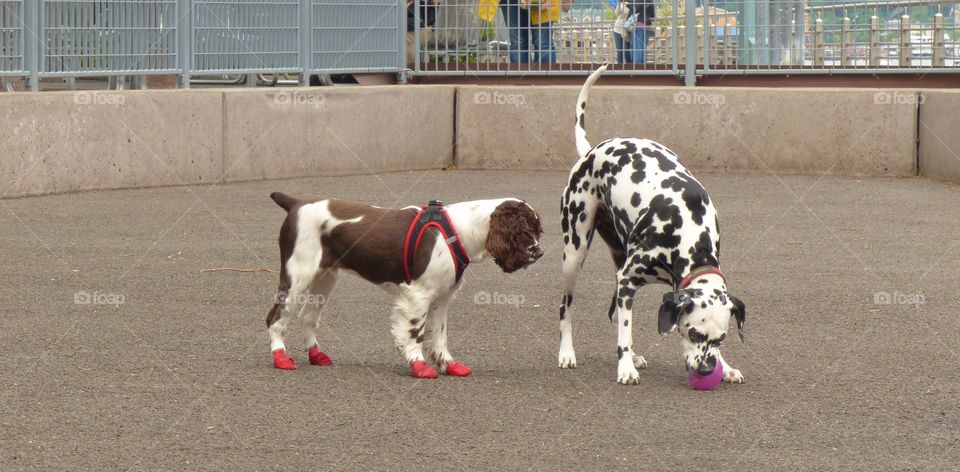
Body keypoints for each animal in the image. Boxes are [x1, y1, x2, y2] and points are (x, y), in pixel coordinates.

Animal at [266, 190, 544, 378]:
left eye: (536, 230)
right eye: (524, 231)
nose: (540, 253)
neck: (459, 230)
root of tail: (296, 203)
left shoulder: (441, 298)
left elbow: (439, 335)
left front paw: (449, 365)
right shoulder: (418, 295)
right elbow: (415, 332)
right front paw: (419, 365)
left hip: (325, 277)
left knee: (307, 317)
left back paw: (316, 355)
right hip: (297, 273)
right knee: (276, 316)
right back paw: (281, 357)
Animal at [560, 65, 748, 384]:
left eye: (721, 338)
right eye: (693, 333)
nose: (706, 370)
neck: (687, 228)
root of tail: (591, 151)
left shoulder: (628, 281)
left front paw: (726, 366)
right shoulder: (627, 280)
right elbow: (625, 331)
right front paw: (625, 367)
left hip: (617, 261)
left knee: (615, 313)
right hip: (574, 255)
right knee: (566, 308)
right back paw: (567, 353)